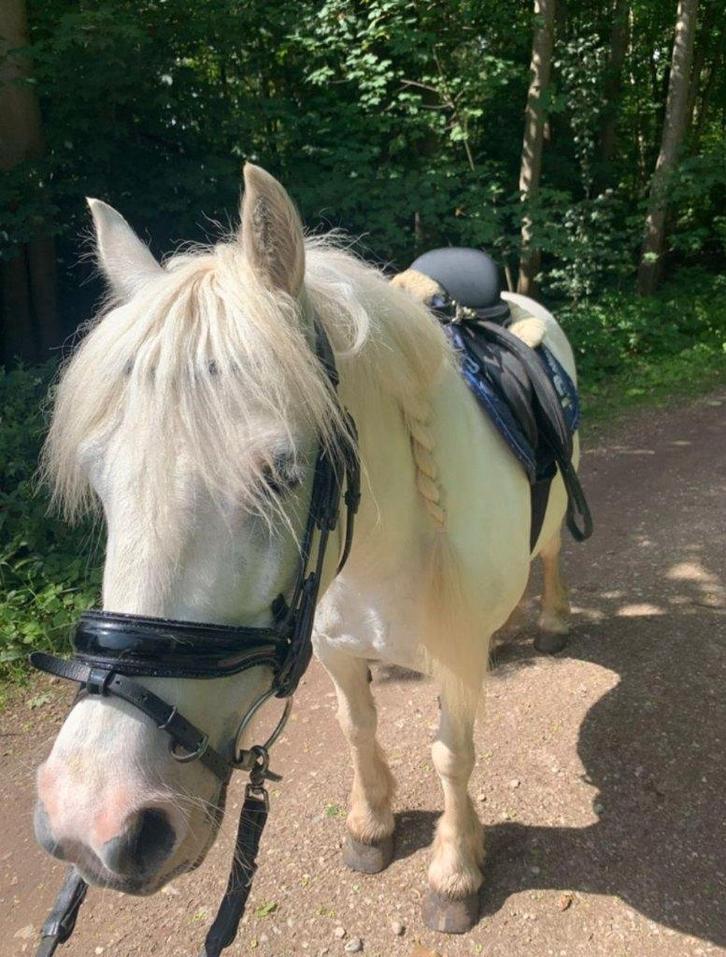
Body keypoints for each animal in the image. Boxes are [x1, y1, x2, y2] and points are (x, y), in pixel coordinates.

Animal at [33, 163, 577, 938]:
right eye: (100, 478)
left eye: (281, 473)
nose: (92, 821)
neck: (383, 553)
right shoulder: (335, 648)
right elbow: (358, 726)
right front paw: (372, 823)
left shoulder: (454, 661)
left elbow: (452, 754)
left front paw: (454, 869)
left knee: (554, 550)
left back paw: (555, 620)